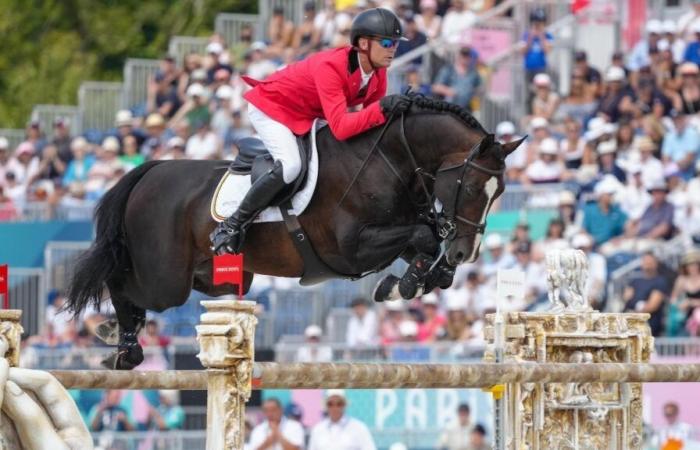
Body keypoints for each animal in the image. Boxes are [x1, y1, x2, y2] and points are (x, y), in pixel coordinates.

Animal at [68, 96, 524, 368]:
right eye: (470, 186)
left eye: (500, 192)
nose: (467, 252)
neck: (391, 160)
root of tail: (152, 170)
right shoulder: (349, 248)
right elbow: (425, 238)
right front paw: (404, 284)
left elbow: (428, 247)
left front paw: (414, 281)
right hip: (165, 279)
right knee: (121, 282)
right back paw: (122, 342)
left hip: (221, 276)